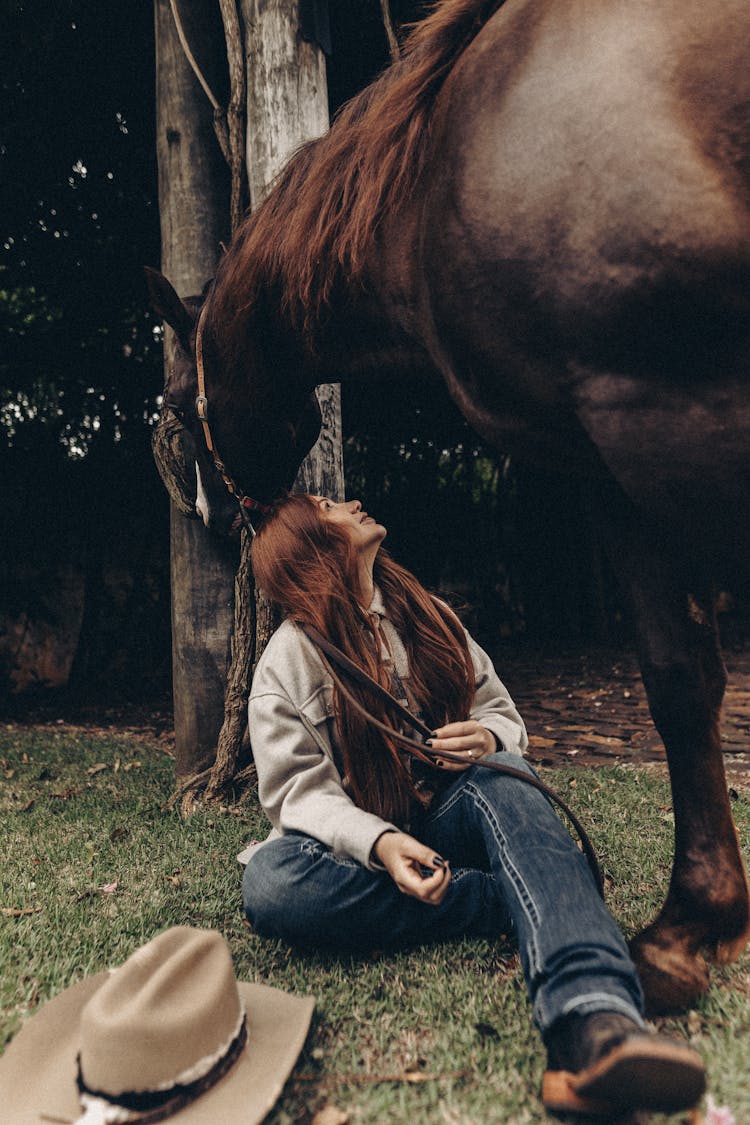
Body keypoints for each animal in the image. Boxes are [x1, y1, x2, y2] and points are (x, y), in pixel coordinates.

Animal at [145, 0, 750, 1012]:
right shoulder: (615, 461)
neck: (436, 167)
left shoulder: (652, 417)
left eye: (180, 414)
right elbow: (684, 676)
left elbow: (681, 682)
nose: (218, 519)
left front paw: (686, 929)